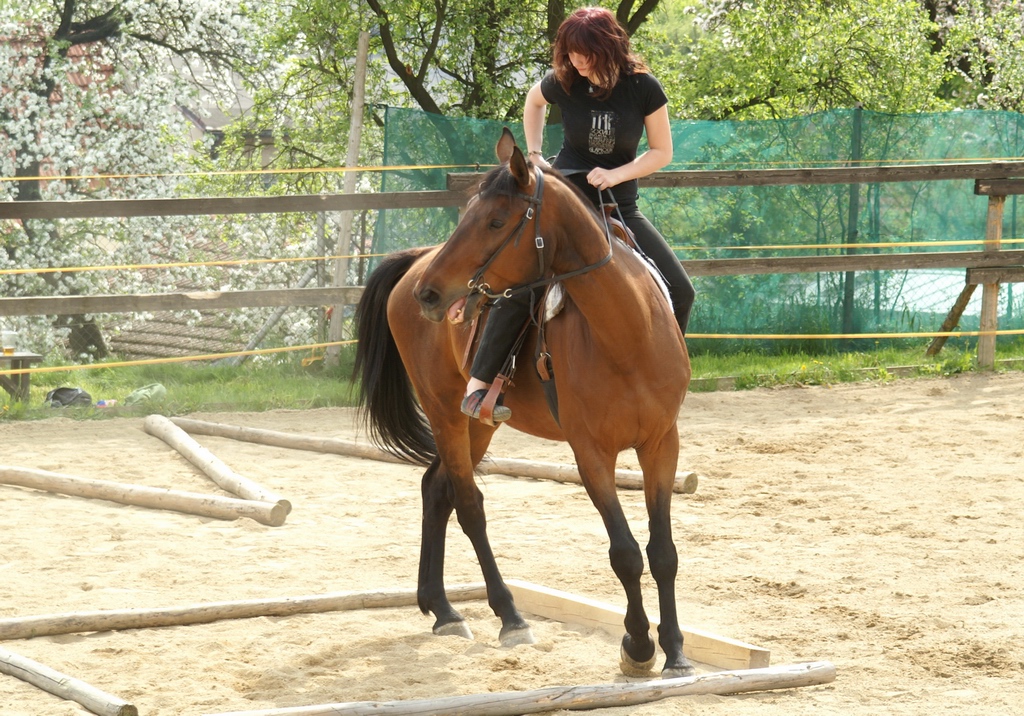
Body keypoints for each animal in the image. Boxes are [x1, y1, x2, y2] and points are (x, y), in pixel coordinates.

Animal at [353, 127, 692, 677]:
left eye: (495, 220)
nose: (431, 295)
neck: (626, 335)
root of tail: (416, 261)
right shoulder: (590, 453)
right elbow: (624, 552)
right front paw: (638, 647)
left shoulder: (662, 444)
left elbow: (662, 551)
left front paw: (677, 652)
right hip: (445, 412)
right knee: (468, 504)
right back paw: (509, 615)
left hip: (479, 423)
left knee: (436, 489)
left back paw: (443, 609)